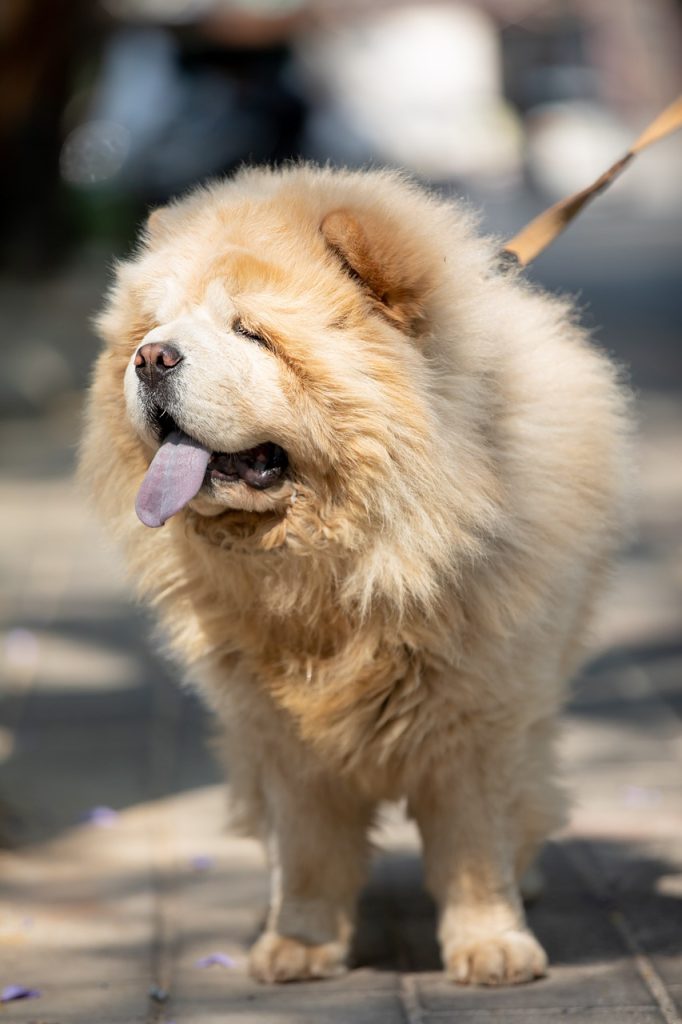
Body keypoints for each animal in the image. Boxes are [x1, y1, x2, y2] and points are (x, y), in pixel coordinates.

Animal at [79, 163, 626, 987]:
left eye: (251, 332)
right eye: (155, 327)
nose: (151, 358)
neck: (337, 564)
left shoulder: (475, 710)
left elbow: (475, 846)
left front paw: (492, 946)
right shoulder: (283, 732)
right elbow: (308, 847)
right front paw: (300, 945)